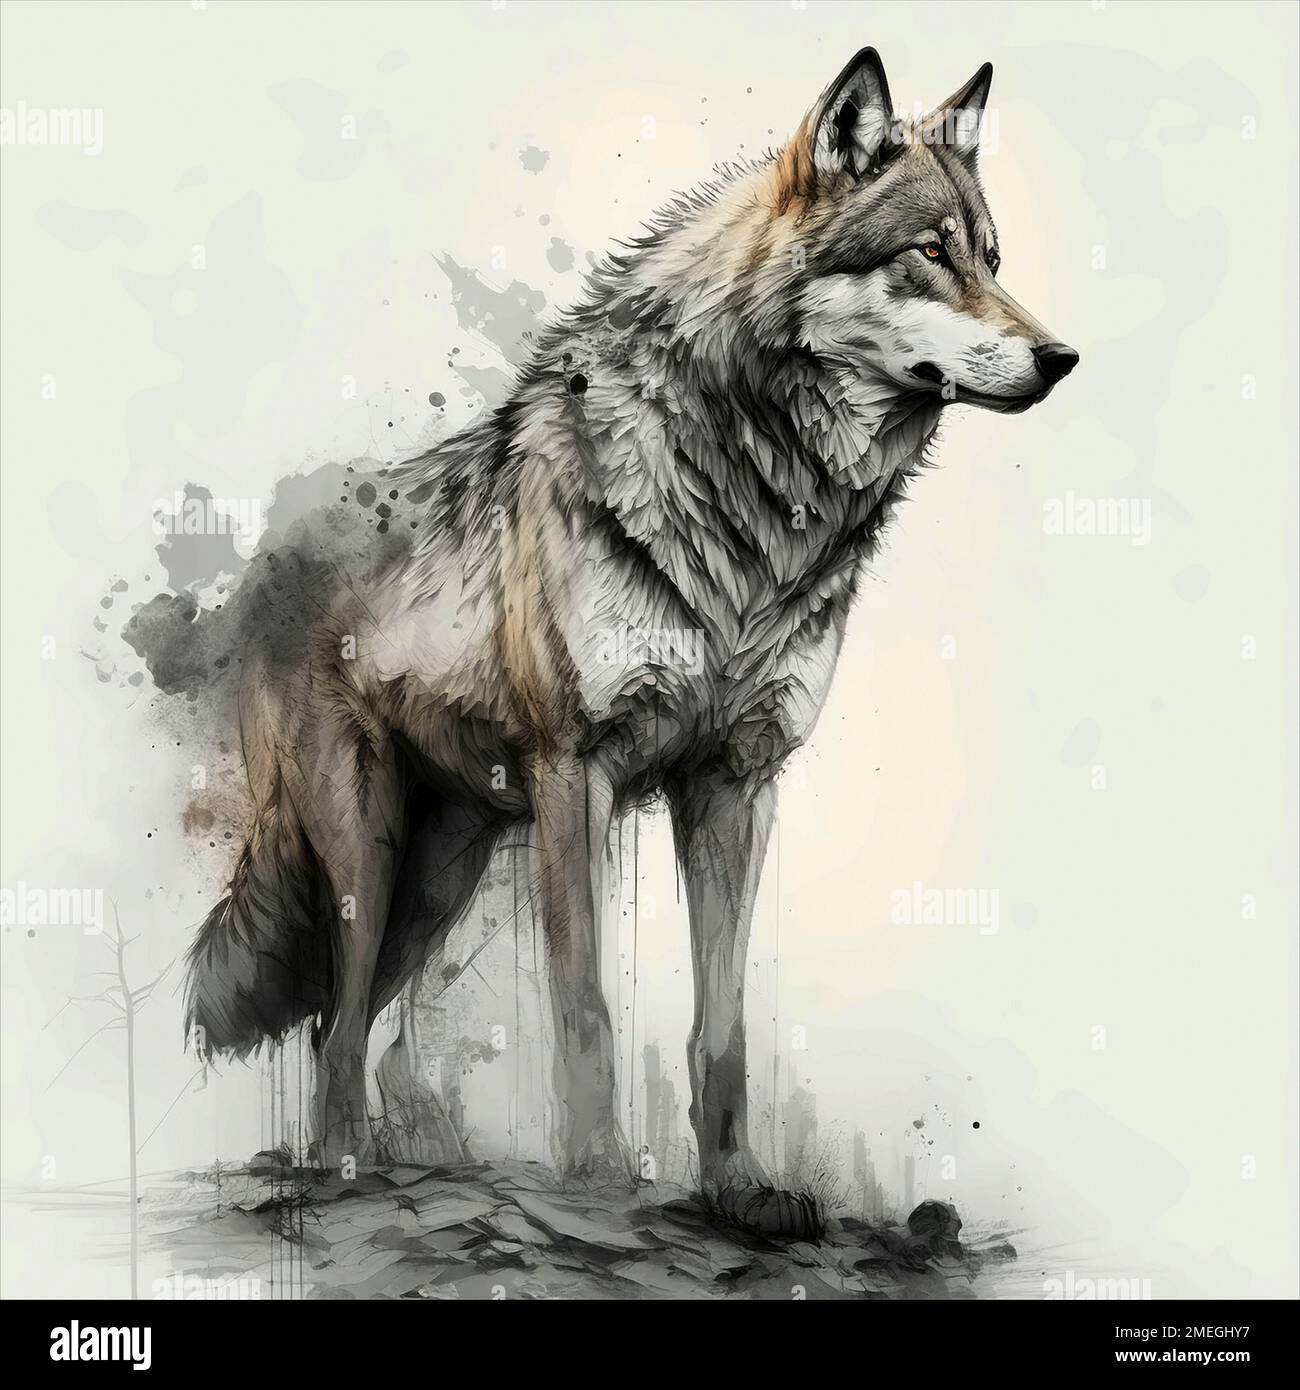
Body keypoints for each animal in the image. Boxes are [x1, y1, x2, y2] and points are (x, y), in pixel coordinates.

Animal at [185, 48, 1076, 1233]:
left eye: (991, 259)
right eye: (930, 255)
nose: (1062, 357)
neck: (754, 513)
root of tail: (271, 545)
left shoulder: (736, 783)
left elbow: (722, 1027)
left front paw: (740, 1189)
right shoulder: (579, 773)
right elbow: (588, 1007)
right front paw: (602, 1176)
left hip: (443, 873)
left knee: (353, 1021)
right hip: (364, 849)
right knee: (336, 1019)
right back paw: (337, 1173)